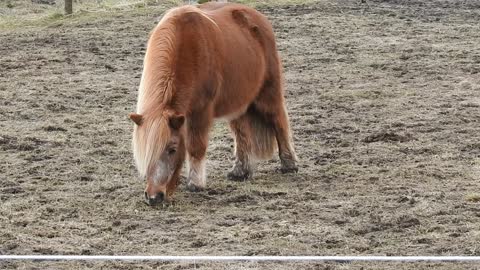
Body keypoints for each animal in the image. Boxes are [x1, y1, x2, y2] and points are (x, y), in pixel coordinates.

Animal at [129, 2, 298, 206]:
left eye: (172, 149)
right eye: (145, 152)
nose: (154, 197)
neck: (186, 48)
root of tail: (257, 17)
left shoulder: (200, 112)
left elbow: (195, 146)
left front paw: (195, 183)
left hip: (268, 94)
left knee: (279, 121)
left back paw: (289, 164)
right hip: (237, 103)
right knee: (241, 133)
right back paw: (240, 171)